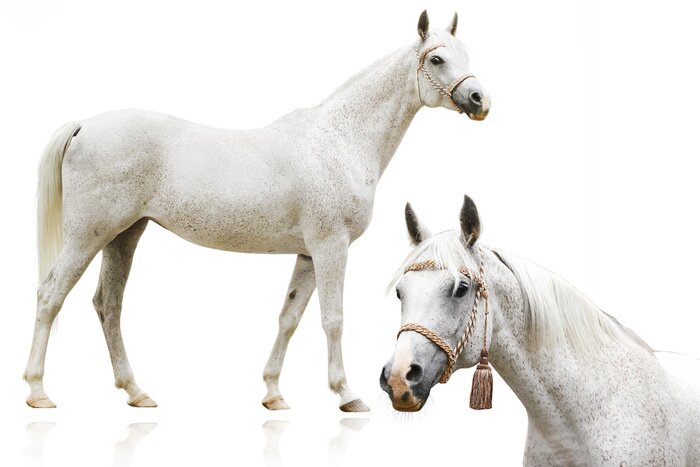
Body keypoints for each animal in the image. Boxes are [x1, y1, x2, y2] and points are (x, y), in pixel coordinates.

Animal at [23, 11, 491, 411]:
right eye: (437, 58)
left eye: (466, 55)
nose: (479, 99)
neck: (340, 139)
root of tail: (84, 125)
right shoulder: (331, 247)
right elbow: (333, 319)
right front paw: (346, 394)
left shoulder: (307, 254)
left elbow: (289, 317)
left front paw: (273, 393)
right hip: (88, 236)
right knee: (51, 295)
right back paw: (38, 391)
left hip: (124, 235)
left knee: (109, 306)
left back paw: (136, 392)